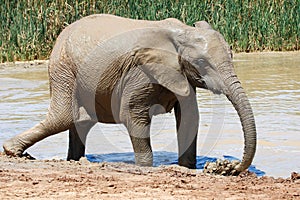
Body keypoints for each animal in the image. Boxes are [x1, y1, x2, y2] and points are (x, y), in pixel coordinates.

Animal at [2, 13, 256, 171]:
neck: (182, 31)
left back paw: (73, 160)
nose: (226, 167)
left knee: (79, 122)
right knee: (62, 118)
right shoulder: (139, 72)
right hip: (63, 69)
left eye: (232, 55)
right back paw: (12, 151)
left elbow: (189, 117)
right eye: (202, 63)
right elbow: (133, 115)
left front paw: (188, 168)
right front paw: (146, 167)